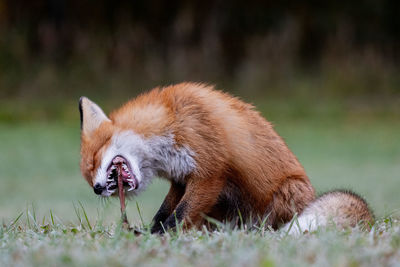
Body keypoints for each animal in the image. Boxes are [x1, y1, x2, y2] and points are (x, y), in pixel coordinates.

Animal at [79, 82, 376, 233]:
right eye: (89, 176)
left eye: (93, 161)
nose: (96, 189)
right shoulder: (181, 179)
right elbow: (165, 212)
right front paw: (150, 232)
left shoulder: (210, 173)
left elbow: (177, 216)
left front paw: (158, 236)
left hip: (286, 194)